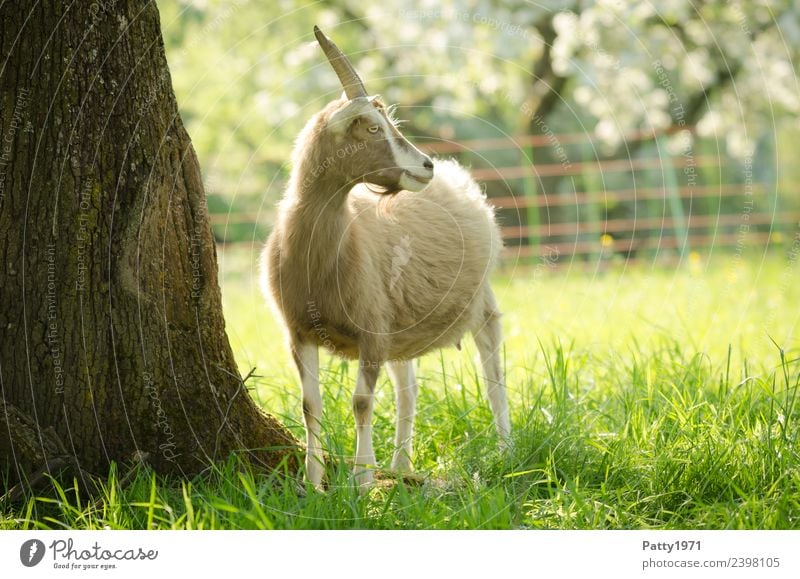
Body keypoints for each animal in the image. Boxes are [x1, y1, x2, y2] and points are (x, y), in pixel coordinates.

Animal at [262, 27, 512, 490]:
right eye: (374, 127)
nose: (426, 165)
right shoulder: (298, 332)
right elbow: (310, 405)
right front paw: (314, 483)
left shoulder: (371, 332)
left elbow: (361, 401)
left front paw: (361, 482)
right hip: (402, 324)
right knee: (407, 390)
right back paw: (401, 467)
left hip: (481, 305)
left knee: (493, 375)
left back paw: (507, 451)